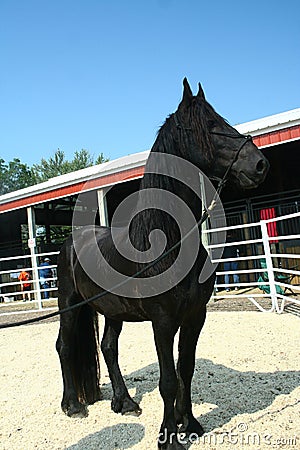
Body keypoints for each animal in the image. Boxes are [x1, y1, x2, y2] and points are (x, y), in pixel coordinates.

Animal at [56, 79, 270, 448]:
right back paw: (72, 405)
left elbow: (186, 369)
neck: (170, 243)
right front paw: (169, 435)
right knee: (65, 346)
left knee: (108, 347)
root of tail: (71, 241)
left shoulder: (195, 316)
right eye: (210, 125)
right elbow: (168, 380)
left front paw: (191, 424)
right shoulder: (163, 321)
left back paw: (124, 402)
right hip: (70, 305)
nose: (259, 164)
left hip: (113, 312)